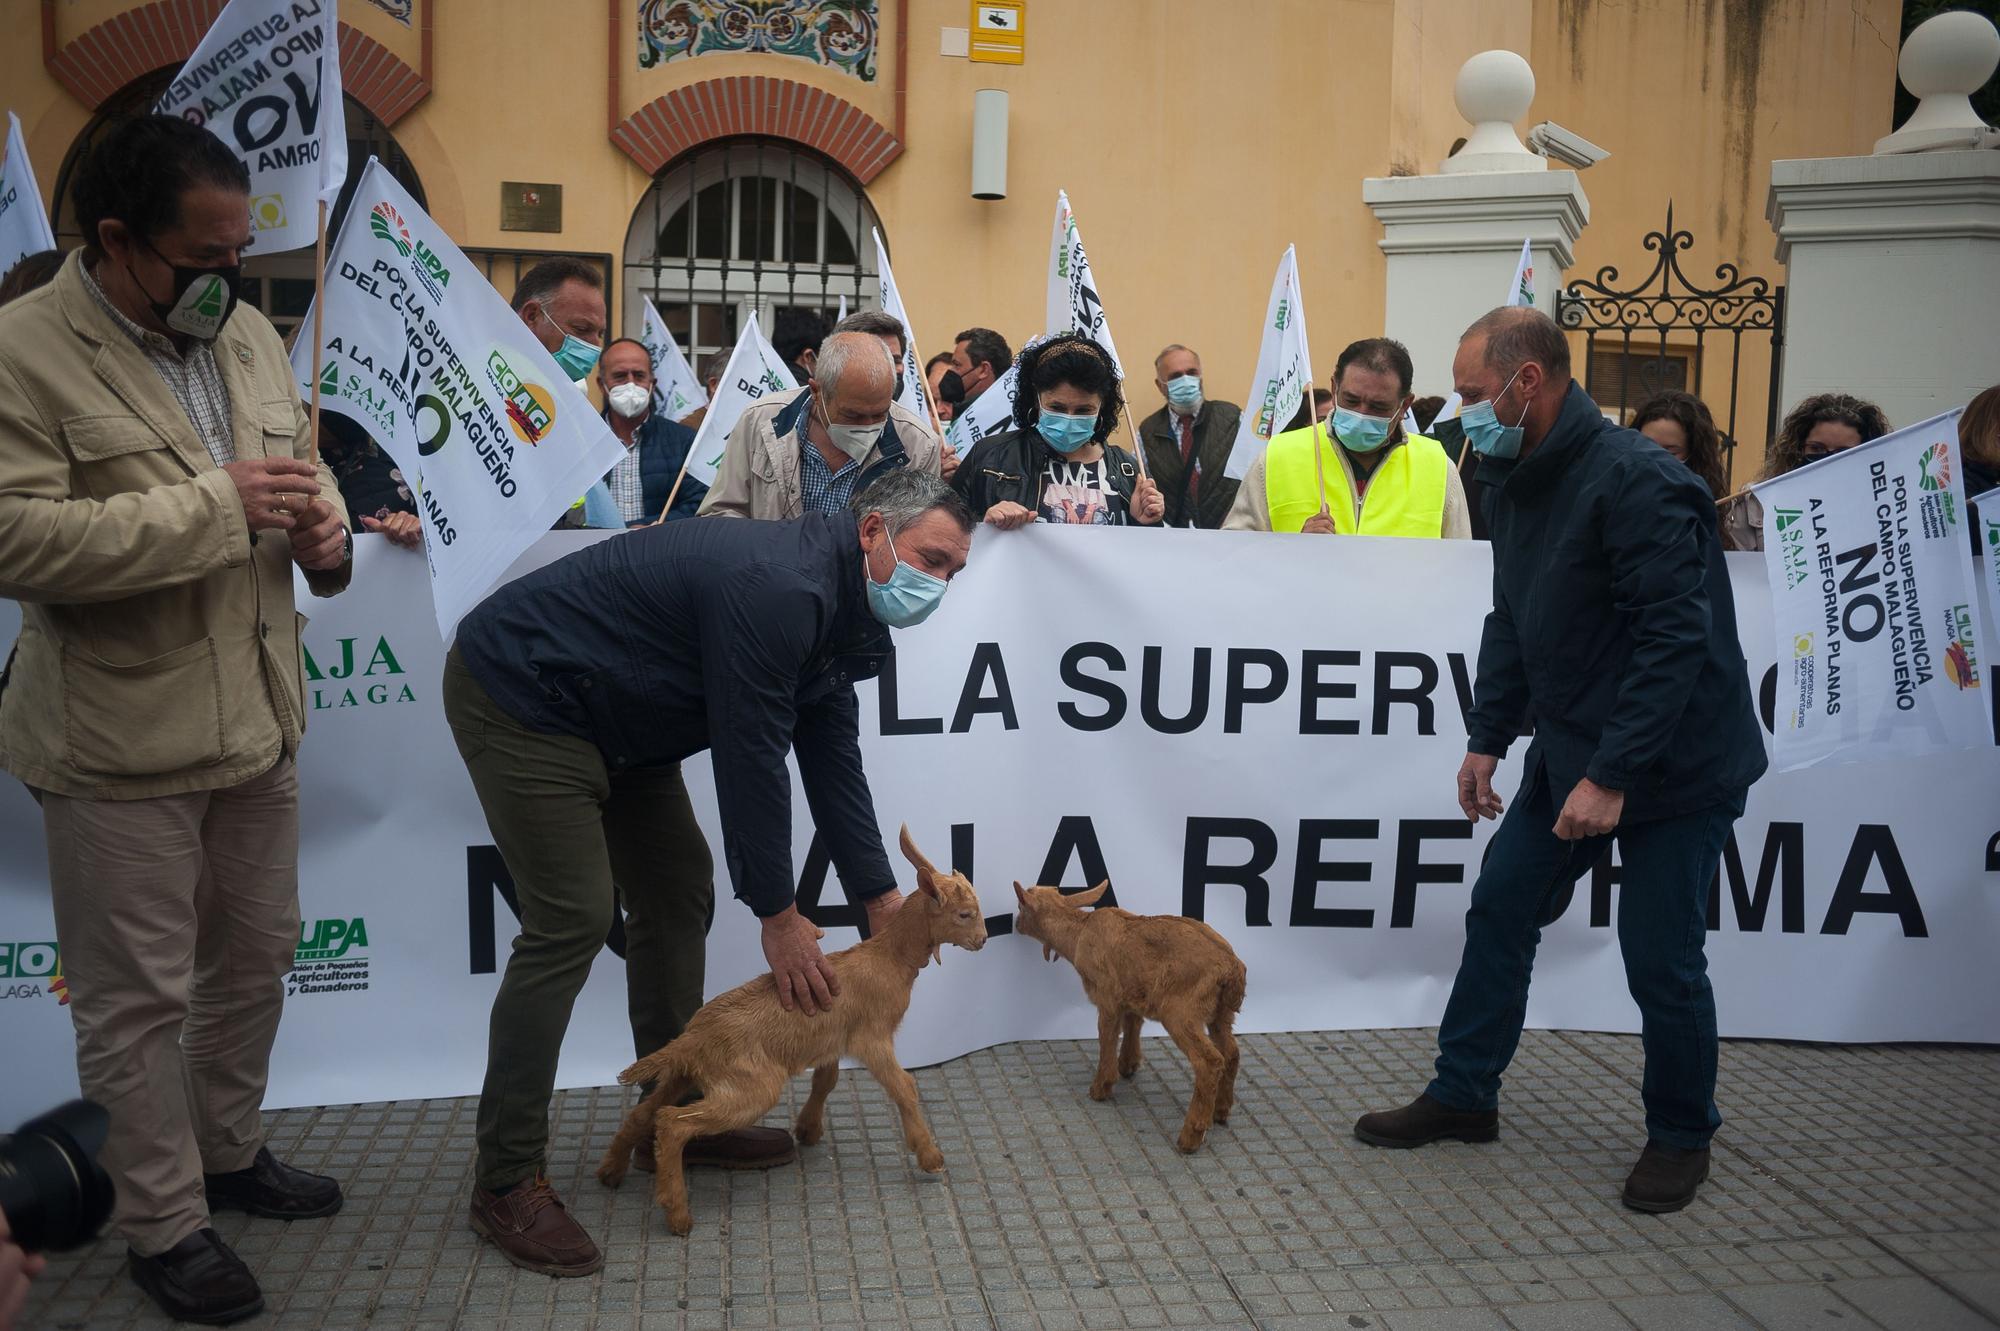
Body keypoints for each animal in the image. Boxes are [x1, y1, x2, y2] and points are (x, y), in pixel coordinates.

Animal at [600, 823, 992, 1231]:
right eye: (965, 914)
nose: (983, 939)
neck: (889, 958)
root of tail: (692, 1039)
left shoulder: (834, 1037)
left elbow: (826, 1080)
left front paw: (807, 1129)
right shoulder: (871, 1037)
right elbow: (904, 1086)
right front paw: (930, 1156)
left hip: (681, 1076)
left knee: (645, 1113)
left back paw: (610, 1172)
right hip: (750, 1088)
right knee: (671, 1123)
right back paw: (677, 1214)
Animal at [1016, 875, 1248, 1143]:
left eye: (1021, 905)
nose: (1015, 924)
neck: (1078, 934)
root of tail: (1231, 968)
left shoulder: (1107, 997)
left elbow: (1107, 1038)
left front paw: (1101, 1088)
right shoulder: (1132, 994)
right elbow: (1133, 1024)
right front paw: (1128, 1065)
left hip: (1181, 1013)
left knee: (1209, 1062)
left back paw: (1190, 1137)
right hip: (1222, 1013)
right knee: (1231, 1053)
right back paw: (1221, 1111)